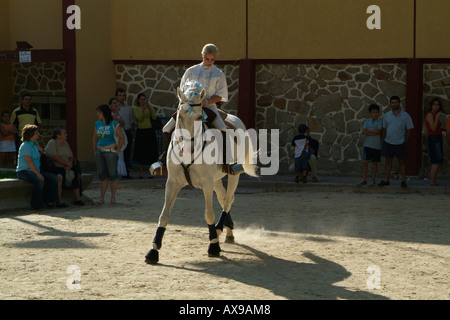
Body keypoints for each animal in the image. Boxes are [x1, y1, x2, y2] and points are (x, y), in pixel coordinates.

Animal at [145, 80, 256, 264]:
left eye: (199, 117)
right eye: (179, 117)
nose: (187, 149)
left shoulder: (206, 184)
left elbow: (209, 214)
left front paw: (214, 246)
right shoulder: (172, 182)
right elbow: (164, 215)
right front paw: (153, 250)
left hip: (233, 175)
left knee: (228, 200)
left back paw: (219, 230)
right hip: (216, 179)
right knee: (223, 198)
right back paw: (228, 231)